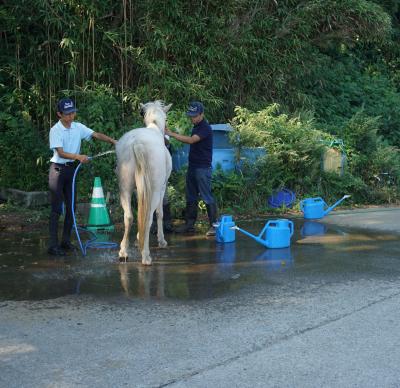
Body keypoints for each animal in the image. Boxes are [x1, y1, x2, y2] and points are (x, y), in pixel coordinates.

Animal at [115, 100, 172, 266]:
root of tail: (137, 143)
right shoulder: (162, 187)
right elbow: (159, 213)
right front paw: (161, 240)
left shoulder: (137, 189)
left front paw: (137, 239)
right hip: (154, 190)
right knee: (148, 218)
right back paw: (146, 256)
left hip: (125, 189)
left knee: (128, 216)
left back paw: (123, 252)